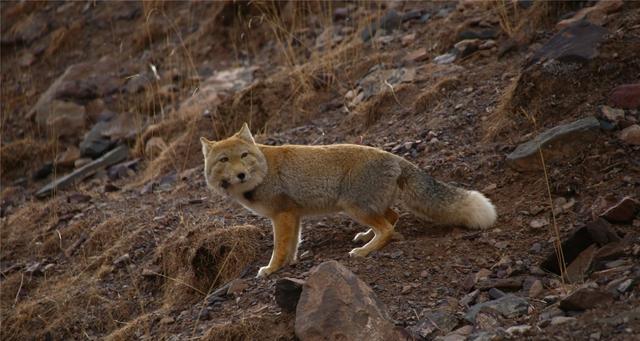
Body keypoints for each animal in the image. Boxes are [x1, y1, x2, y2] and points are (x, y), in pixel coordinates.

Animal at [199, 123, 496, 278]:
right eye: (224, 160)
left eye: (244, 156)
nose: (240, 174)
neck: (263, 172)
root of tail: (395, 158)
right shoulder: (293, 216)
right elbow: (292, 245)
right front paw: (287, 265)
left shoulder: (282, 215)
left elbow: (279, 247)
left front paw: (272, 268)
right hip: (367, 207)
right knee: (393, 218)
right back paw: (366, 237)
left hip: (353, 206)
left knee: (387, 228)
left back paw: (364, 250)